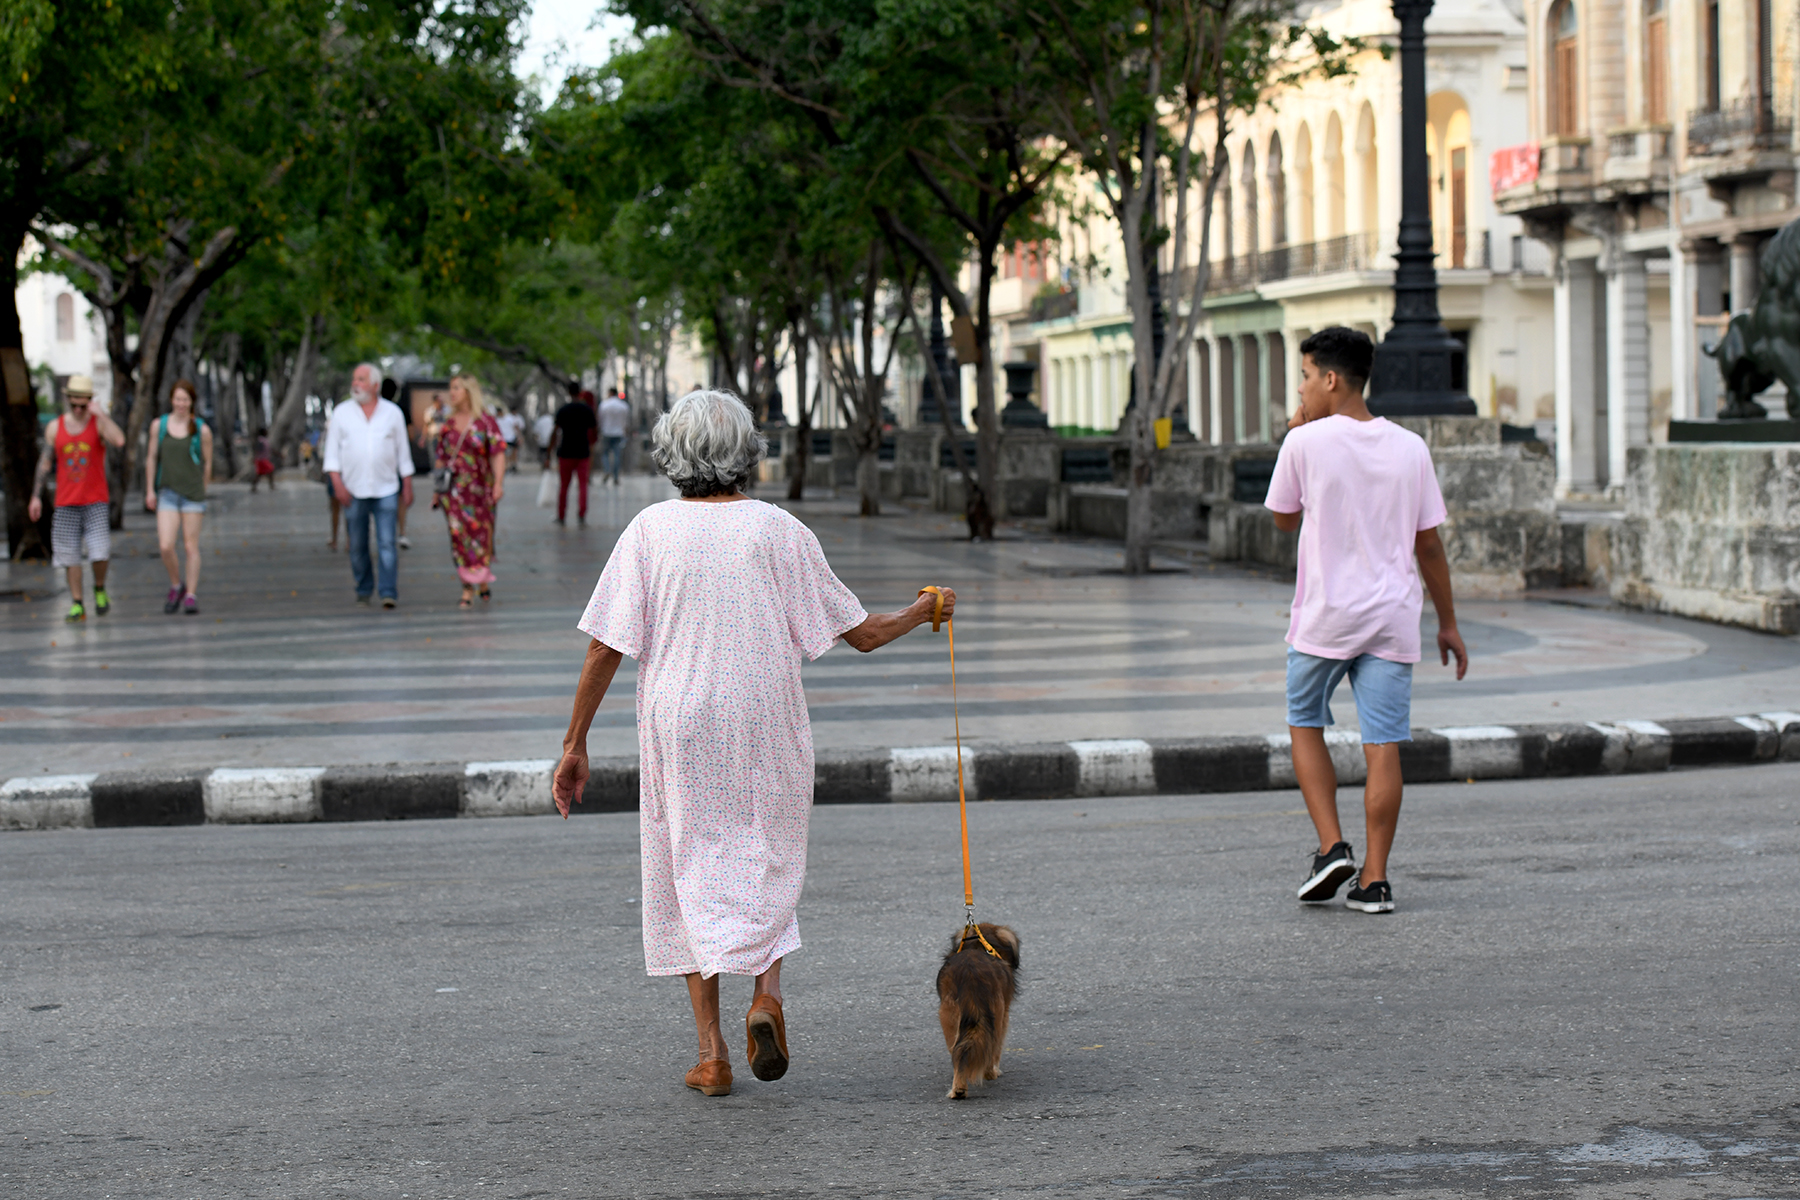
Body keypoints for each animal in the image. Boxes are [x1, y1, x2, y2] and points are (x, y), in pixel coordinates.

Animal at [936, 928, 1022, 1101]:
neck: (977, 945)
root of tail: (970, 972)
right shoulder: (1004, 1016)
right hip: (997, 1013)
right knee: (990, 1047)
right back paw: (989, 1074)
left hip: (948, 1016)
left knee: (958, 1052)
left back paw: (958, 1089)